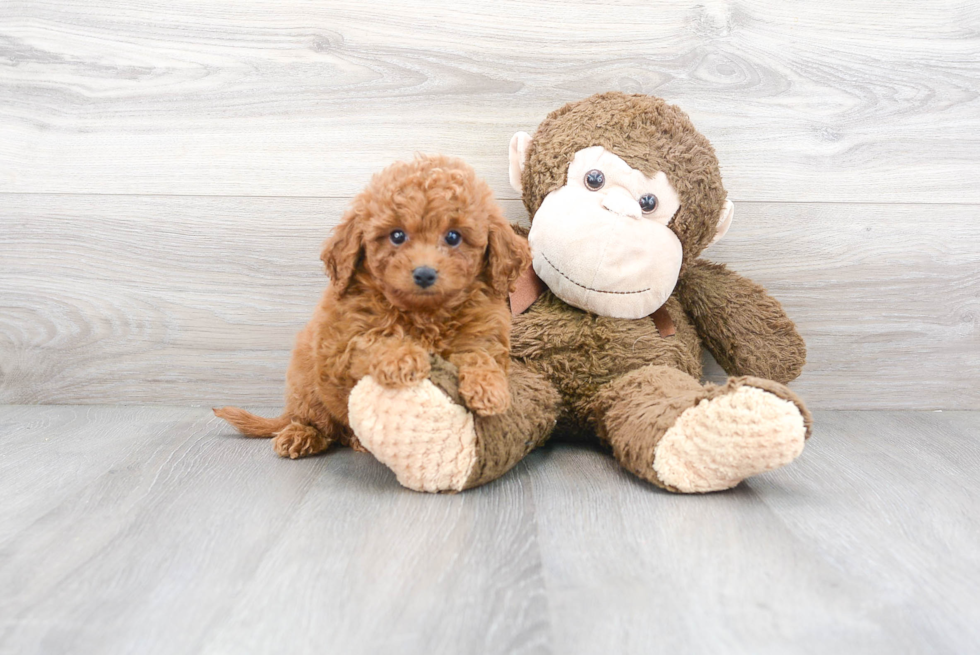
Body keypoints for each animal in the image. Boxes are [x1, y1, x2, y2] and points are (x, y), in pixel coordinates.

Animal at [212, 156, 528, 458]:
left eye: (453, 237)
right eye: (397, 235)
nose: (424, 274)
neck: (424, 314)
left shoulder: (484, 333)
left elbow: (480, 355)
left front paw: (489, 388)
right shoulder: (341, 344)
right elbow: (373, 340)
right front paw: (402, 358)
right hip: (306, 386)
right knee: (314, 421)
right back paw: (302, 435)